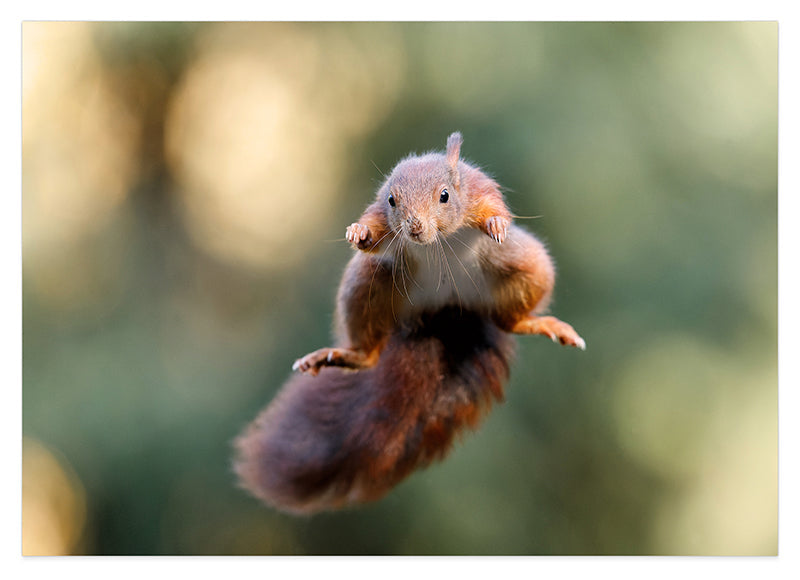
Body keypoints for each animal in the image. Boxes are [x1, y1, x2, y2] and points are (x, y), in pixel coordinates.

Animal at [234, 132, 585, 515]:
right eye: (391, 199)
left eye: (445, 196)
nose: (415, 228)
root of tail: (447, 309)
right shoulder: (380, 216)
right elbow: (372, 228)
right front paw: (358, 232)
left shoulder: (478, 188)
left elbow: (494, 205)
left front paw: (496, 223)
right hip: (366, 284)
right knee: (370, 352)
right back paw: (345, 355)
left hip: (526, 267)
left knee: (510, 320)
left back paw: (539, 323)